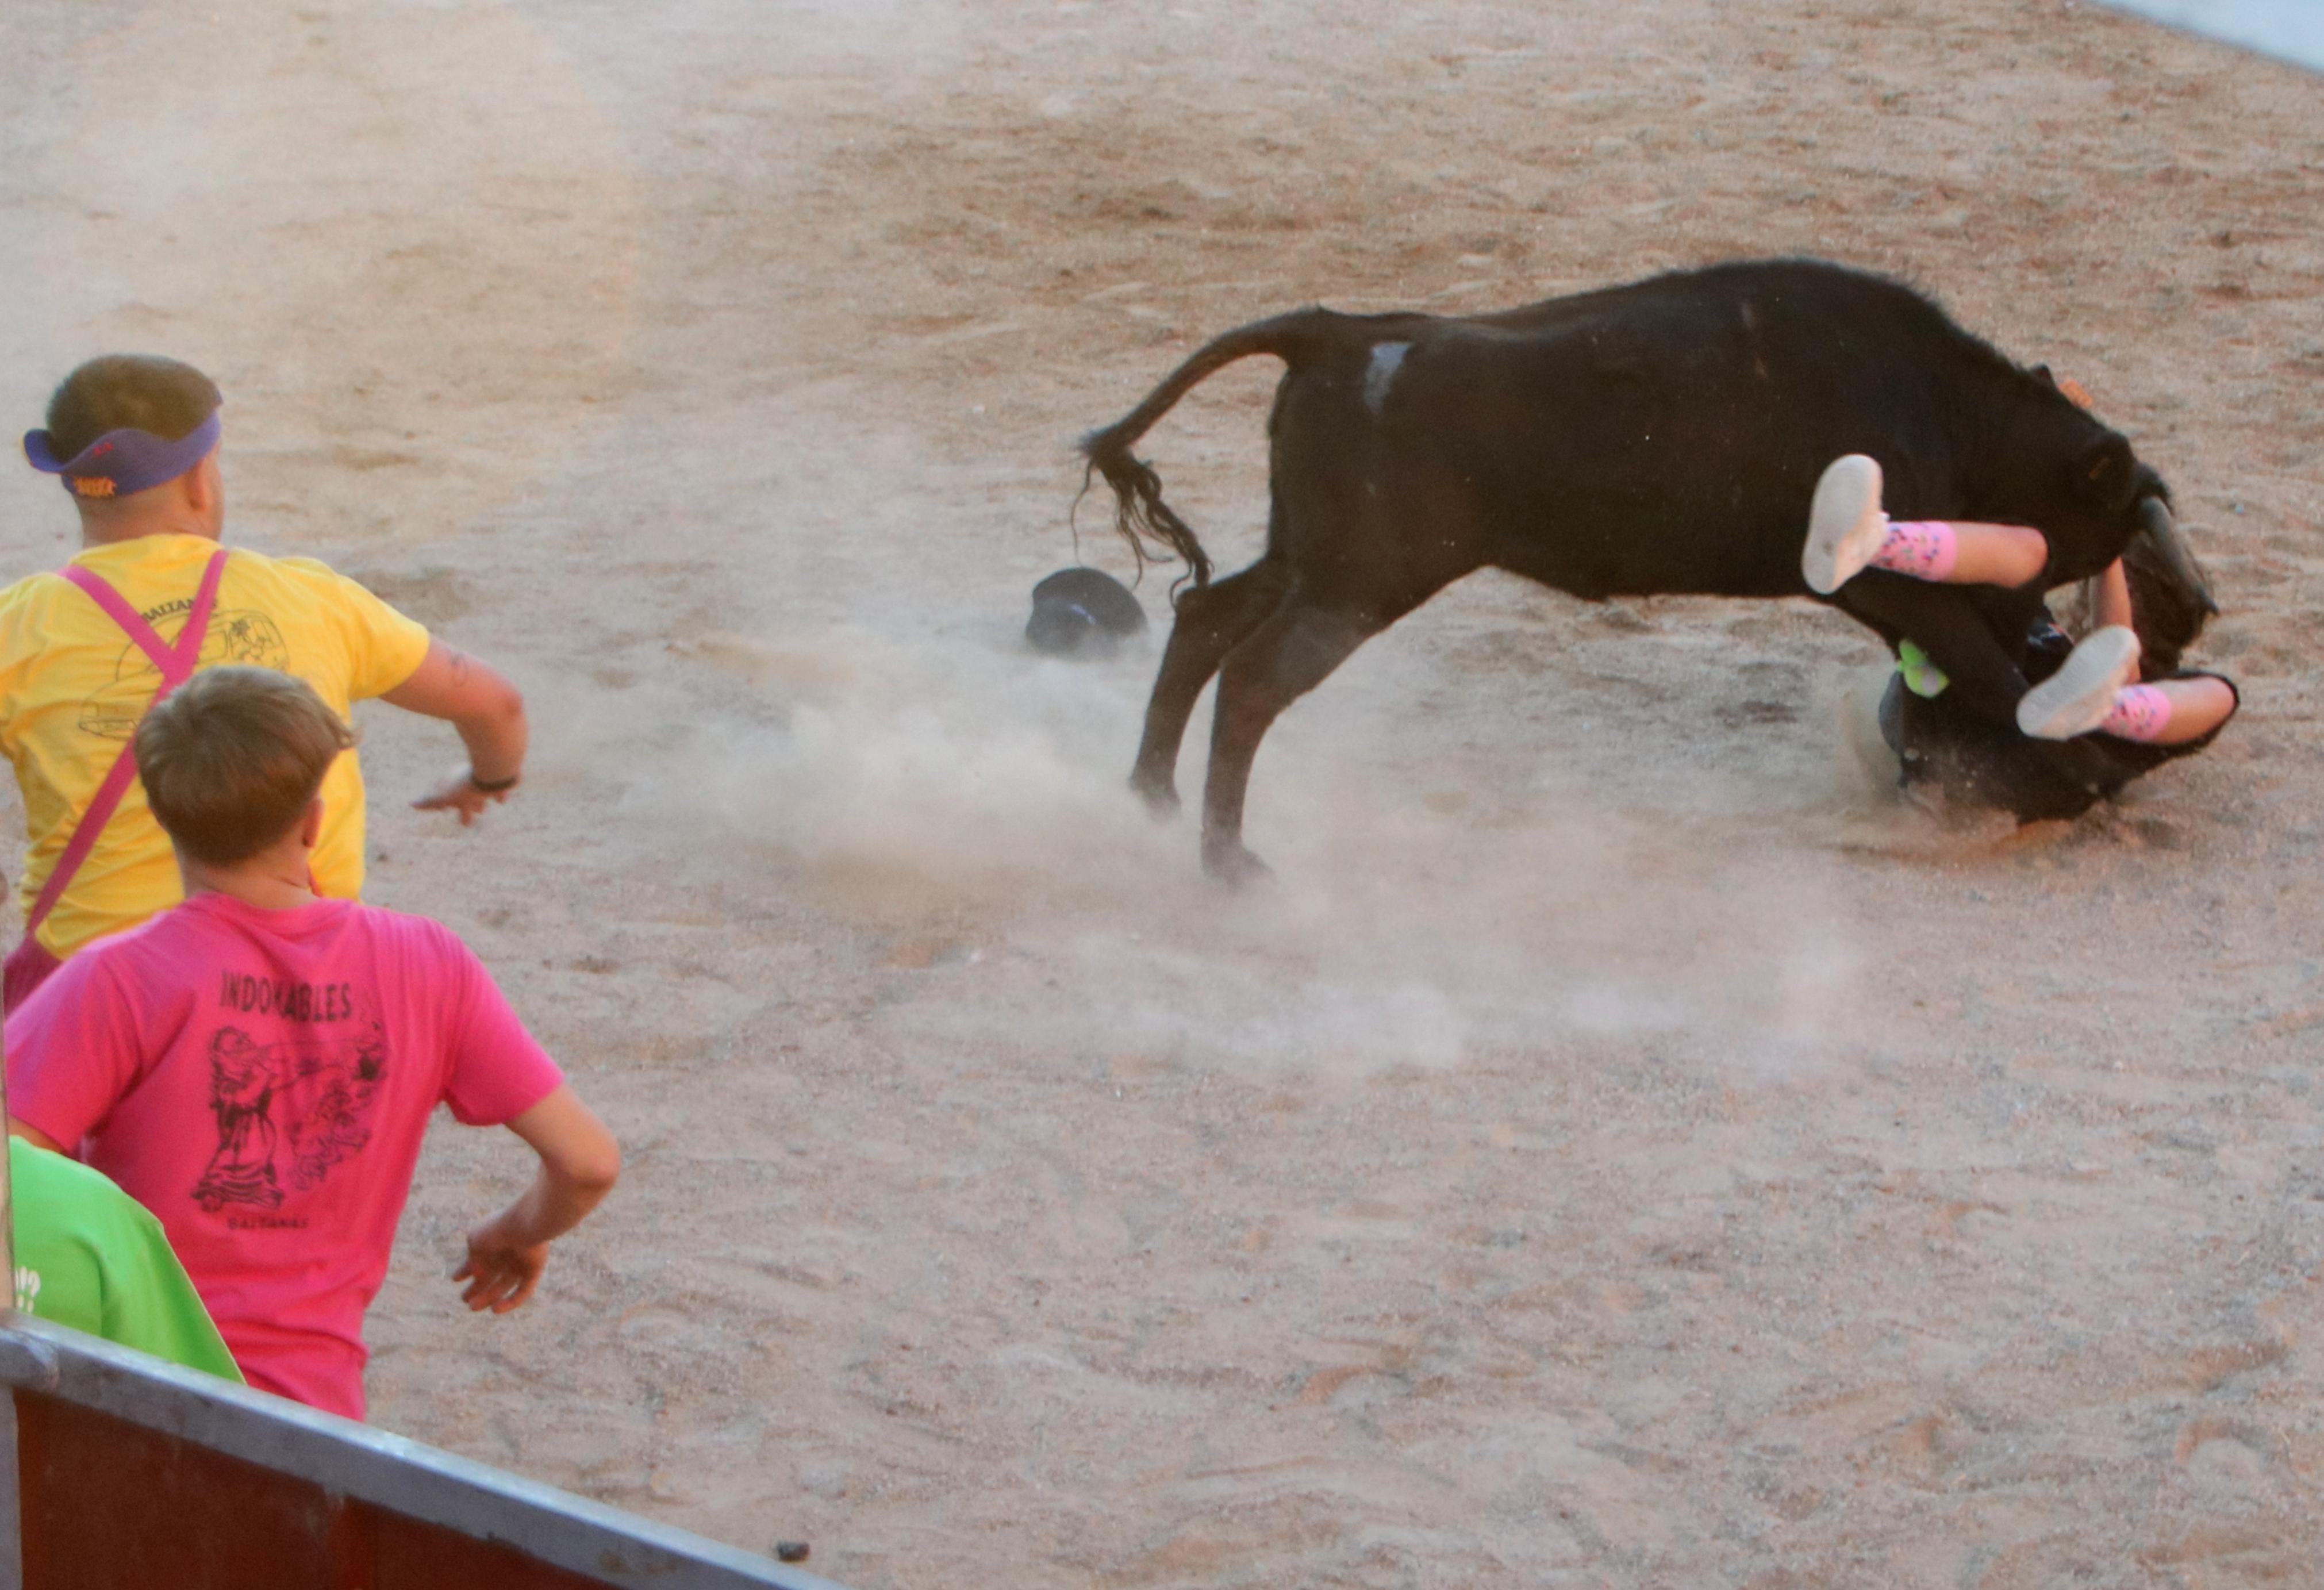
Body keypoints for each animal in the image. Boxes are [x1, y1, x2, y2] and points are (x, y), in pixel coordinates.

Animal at [1083, 260, 2212, 883]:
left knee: (1205, 620)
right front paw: (2092, 768)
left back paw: (1149, 803)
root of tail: (1334, 335)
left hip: (1315, 557)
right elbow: (1992, 677)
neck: (1950, 408)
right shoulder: (1884, 586)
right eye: (2086, 538)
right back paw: (1227, 865)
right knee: (1252, 678)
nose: (2053, 630)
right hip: (1360, 580)